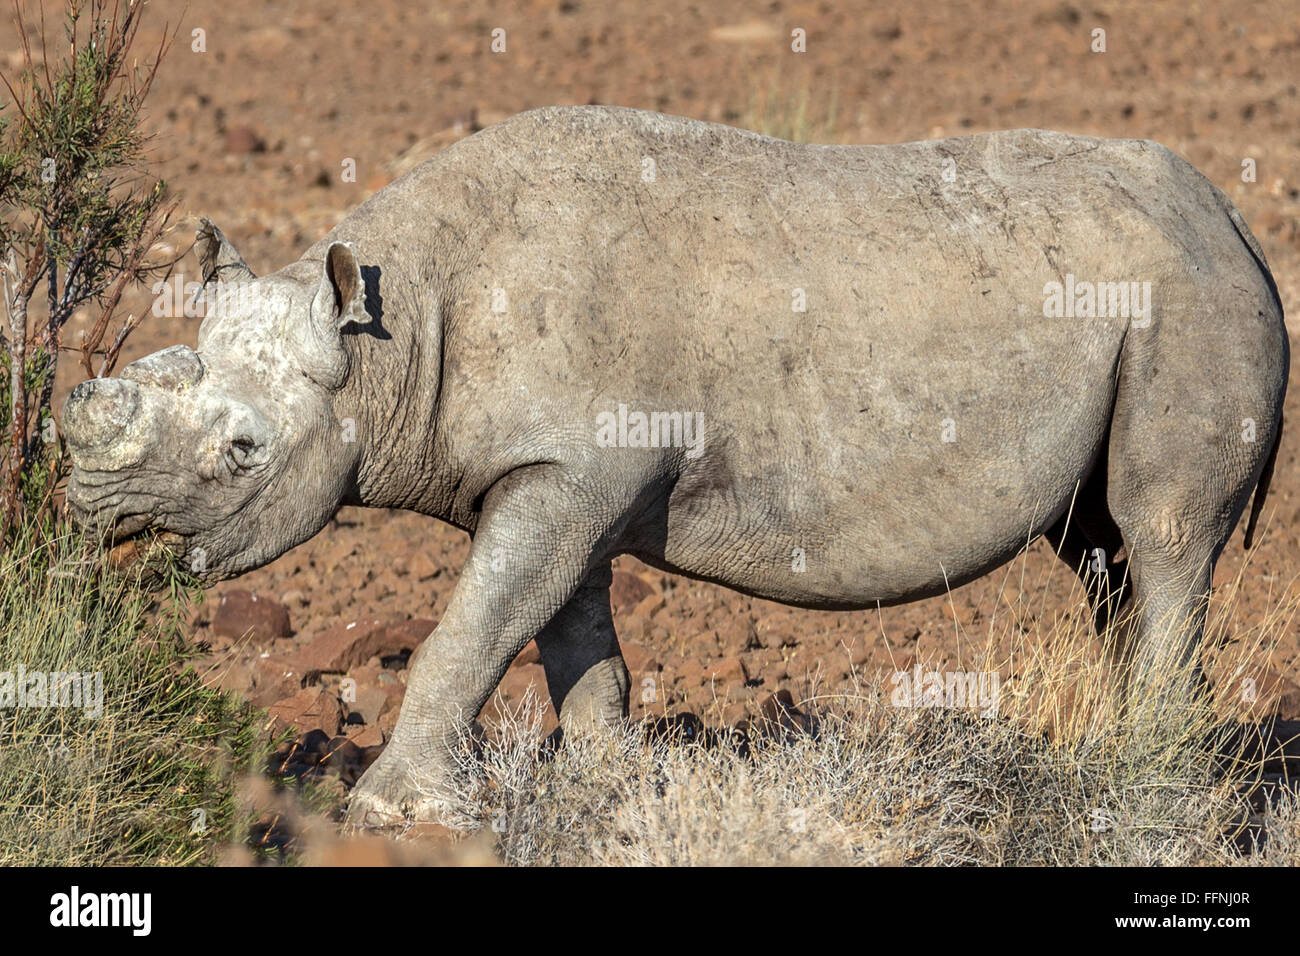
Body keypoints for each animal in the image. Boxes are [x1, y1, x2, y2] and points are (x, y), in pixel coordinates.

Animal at [63, 106, 1289, 822]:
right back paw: (1122, 753)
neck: (393, 335)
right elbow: (564, 635)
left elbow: (471, 632)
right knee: (1102, 551)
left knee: (1161, 536)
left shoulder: (570, 474)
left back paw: (1146, 775)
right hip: (1145, 295)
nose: (91, 508)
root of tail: (1232, 216)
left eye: (243, 453)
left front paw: (389, 813)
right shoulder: (556, 477)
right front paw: (614, 792)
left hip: (1185, 295)